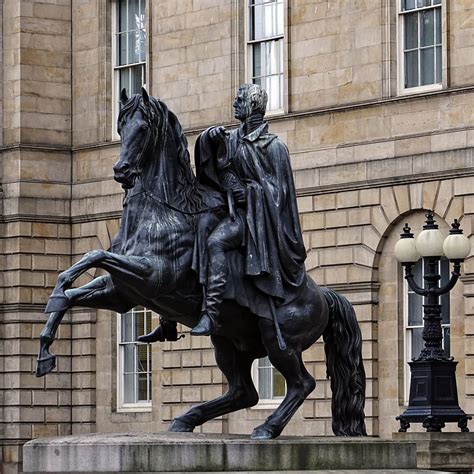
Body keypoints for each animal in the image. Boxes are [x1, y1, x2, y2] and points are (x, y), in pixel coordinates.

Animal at [38, 90, 370, 440]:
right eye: (120, 127)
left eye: (142, 128)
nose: (121, 171)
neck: (165, 209)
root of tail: (322, 295)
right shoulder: (122, 292)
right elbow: (74, 283)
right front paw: (46, 343)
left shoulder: (153, 276)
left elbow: (94, 255)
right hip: (228, 341)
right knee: (243, 392)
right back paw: (187, 419)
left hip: (279, 339)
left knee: (301, 384)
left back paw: (266, 427)